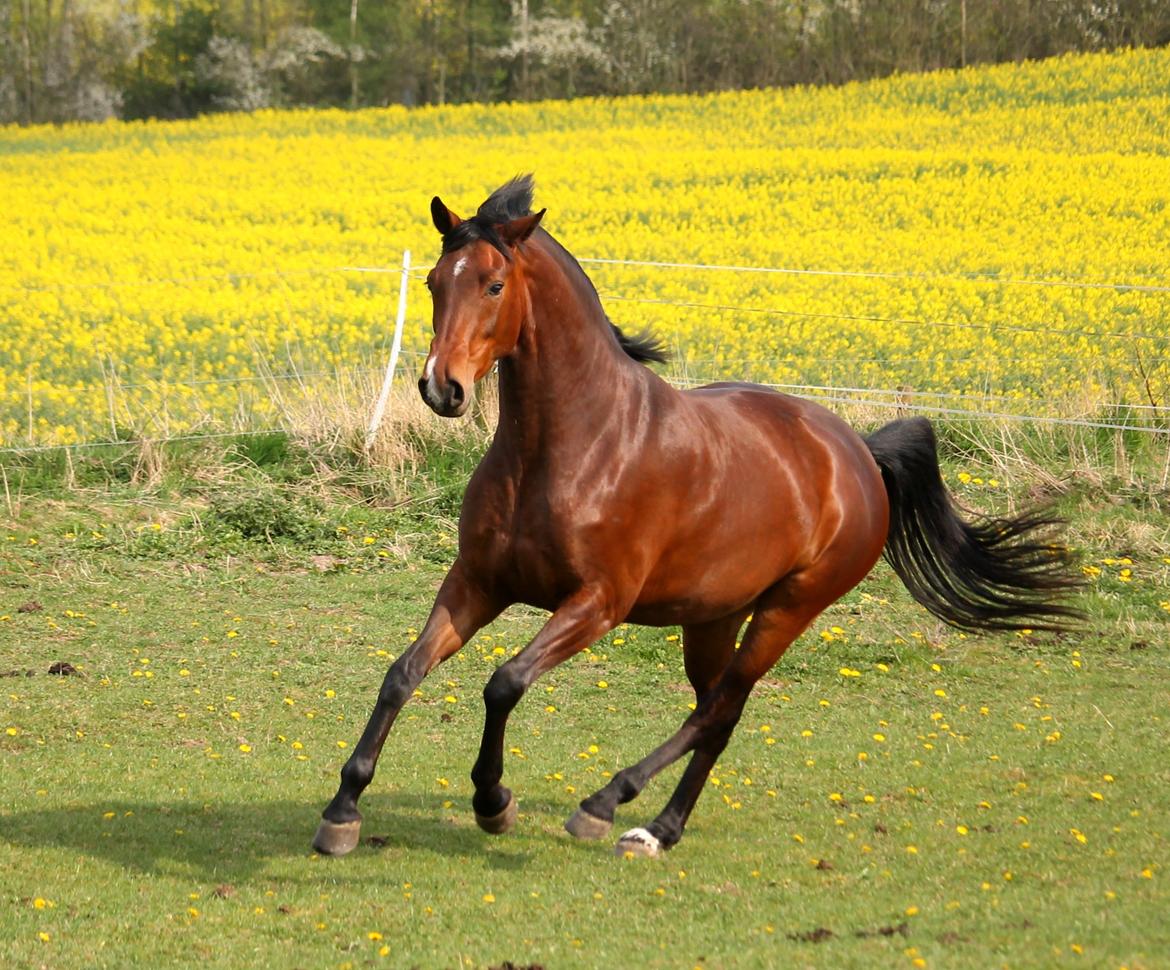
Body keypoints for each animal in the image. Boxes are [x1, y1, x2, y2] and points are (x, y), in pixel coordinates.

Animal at [311, 177, 1076, 861]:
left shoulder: (598, 604)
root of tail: (857, 452)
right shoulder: (477, 582)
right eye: (434, 282)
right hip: (714, 616)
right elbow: (402, 673)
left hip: (790, 607)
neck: (572, 444)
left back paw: (609, 806)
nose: (441, 388)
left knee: (718, 708)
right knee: (719, 715)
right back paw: (659, 828)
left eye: (494, 285)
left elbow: (505, 682)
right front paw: (342, 811)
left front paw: (493, 802)